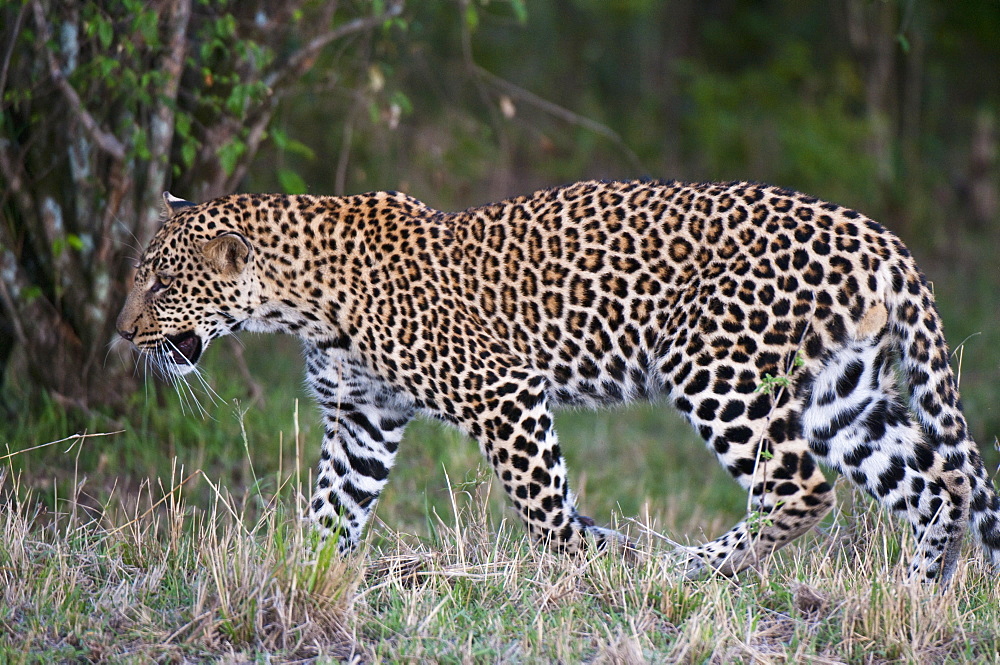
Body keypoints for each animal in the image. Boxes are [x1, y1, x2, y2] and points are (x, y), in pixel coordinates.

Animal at [117, 180, 1000, 580]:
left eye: (159, 282)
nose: (123, 331)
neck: (298, 299)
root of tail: (875, 232)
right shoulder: (363, 420)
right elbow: (328, 515)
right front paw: (298, 579)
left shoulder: (502, 391)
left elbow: (542, 510)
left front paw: (598, 560)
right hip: (840, 393)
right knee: (935, 482)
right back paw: (916, 594)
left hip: (713, 365)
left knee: (802, 486)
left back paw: (685, 566)